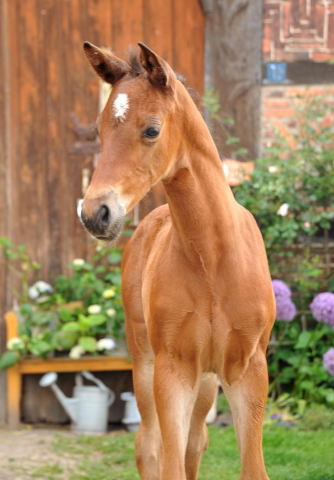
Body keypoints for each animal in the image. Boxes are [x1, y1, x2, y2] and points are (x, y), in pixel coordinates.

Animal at [80, 42, 274, 480]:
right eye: (100, 131)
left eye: (152, 129)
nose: (95, 213)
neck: (213, 257)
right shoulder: (173, 369)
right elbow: (167, 463)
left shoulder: (249, 369)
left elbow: (251, 468)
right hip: (145, 361)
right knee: (149, 445)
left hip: (206, 381)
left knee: (195, 442)